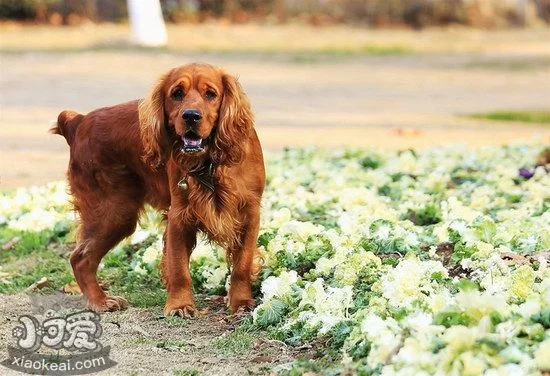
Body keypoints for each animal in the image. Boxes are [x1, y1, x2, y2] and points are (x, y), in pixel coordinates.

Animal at [52, 63, 266, 316]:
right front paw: (180, 305)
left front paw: (240, 301)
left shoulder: (249, 213)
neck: (210, 164)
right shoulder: (179, 216)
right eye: (177, 94)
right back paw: (100, 301)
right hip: (113, 212)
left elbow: (242, 262)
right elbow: (179, 268)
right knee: (80, 258)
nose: (191, 115)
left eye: (211, 94)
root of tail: (79, 122)